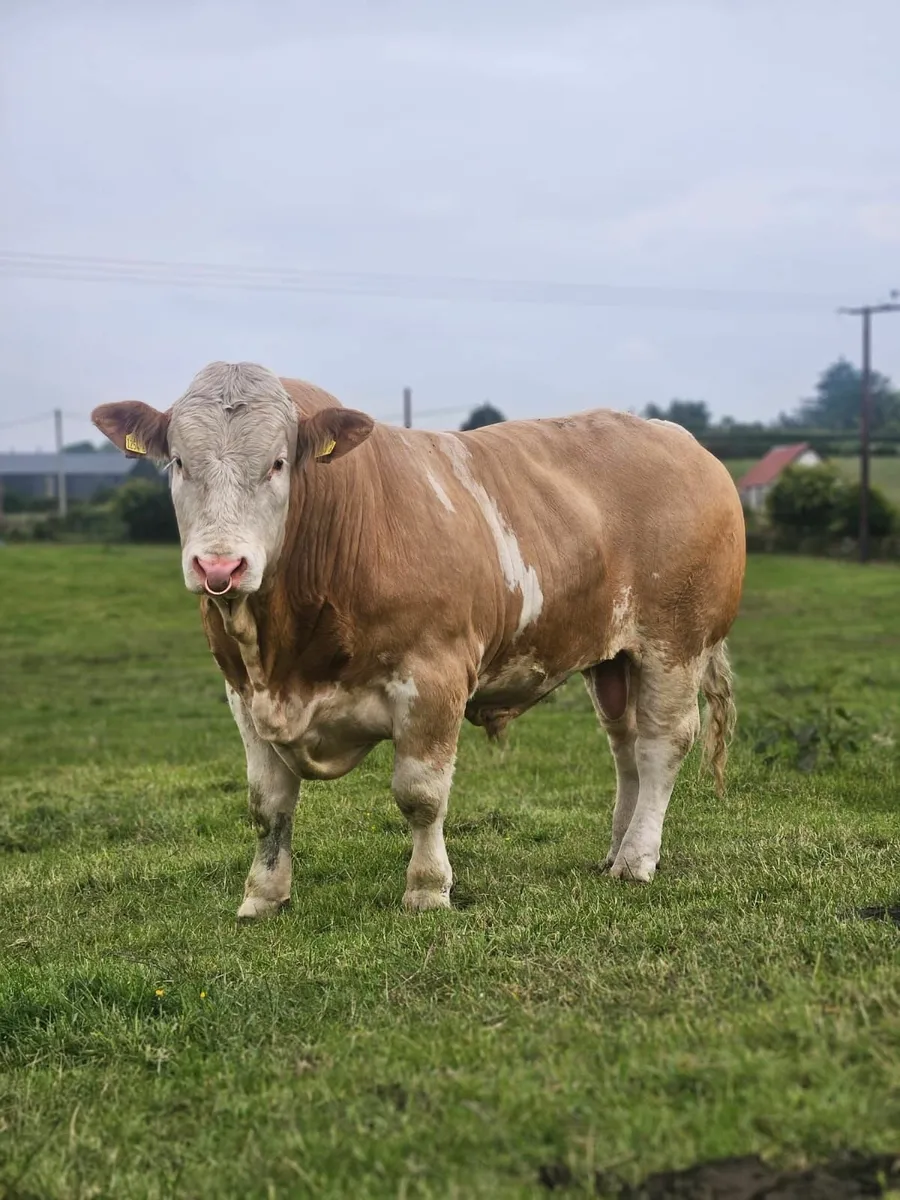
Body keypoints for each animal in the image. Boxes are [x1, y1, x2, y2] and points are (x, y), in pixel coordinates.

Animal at [92, 362, 745, 919]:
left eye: (277, 463)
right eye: (179, 462)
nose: (219, 566)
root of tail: (680, 441)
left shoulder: (435, 677)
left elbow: (420, 794)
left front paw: (428, 889)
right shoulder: (243, 692)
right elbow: (267, 803)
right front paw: (263, 895)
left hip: (674, 643)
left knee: (662, 743)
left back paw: (636, 861)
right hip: (613, 657)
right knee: (625, 745)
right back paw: (617, 850)